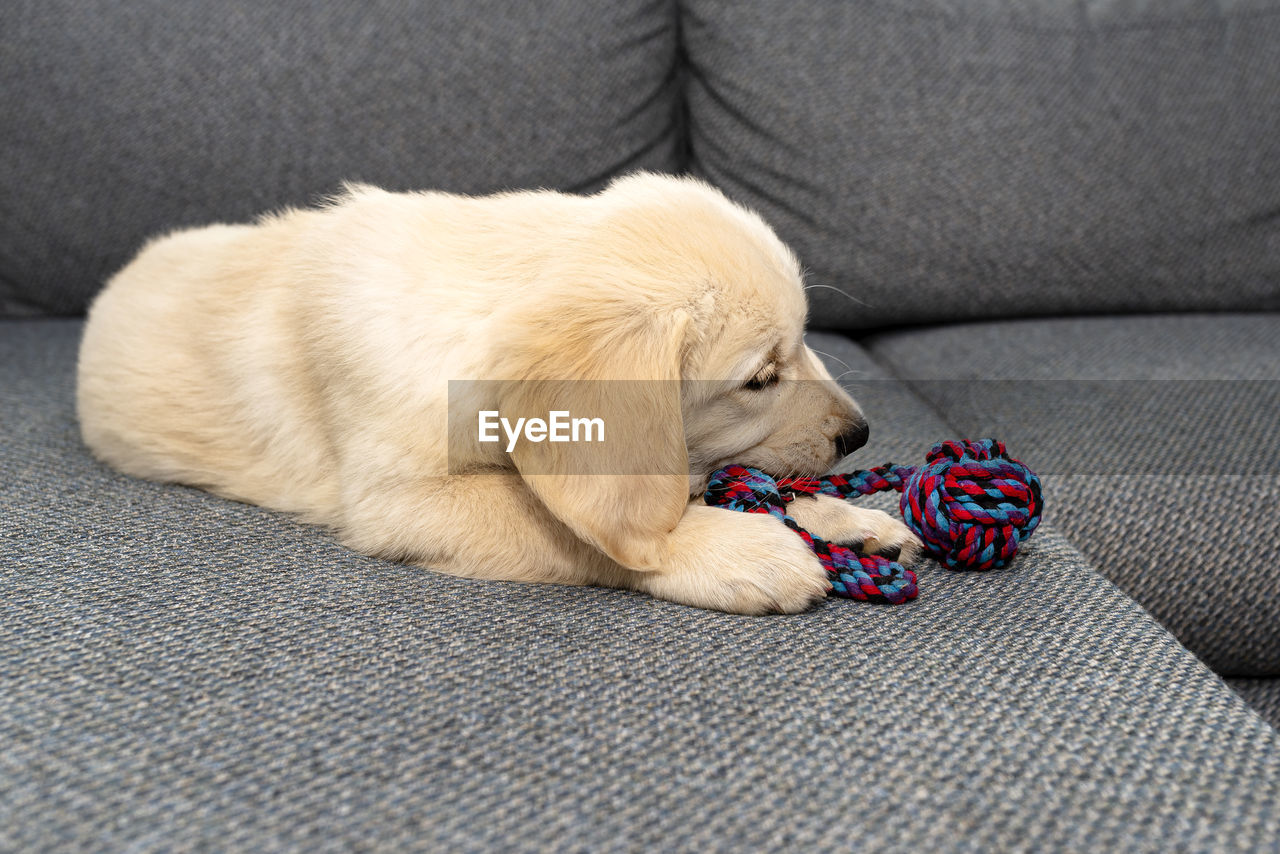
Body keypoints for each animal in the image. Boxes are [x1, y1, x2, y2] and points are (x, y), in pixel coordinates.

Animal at [74, 174, 921, 614]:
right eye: (759, 379)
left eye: (804, 342)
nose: (860, 434)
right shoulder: (404, 500)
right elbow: (581, 530)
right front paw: (737, 548)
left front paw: (847, 518)